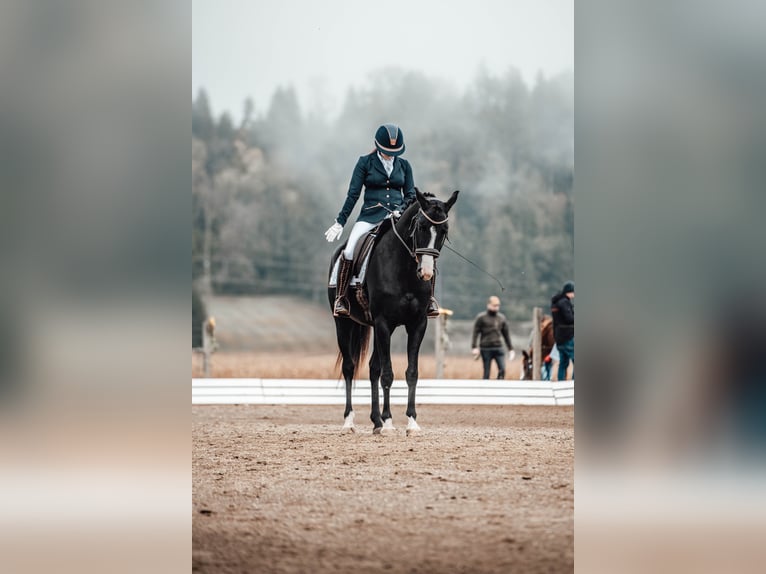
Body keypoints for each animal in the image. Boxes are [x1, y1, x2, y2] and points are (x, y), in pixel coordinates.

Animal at [328, 188, 459, 435]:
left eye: (444, 230)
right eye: (421, 226)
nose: (426, 272)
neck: (404, 268)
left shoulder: (417, 323)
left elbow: (411, 373)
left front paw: (411, 422)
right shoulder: (383, 323)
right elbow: (388, 374)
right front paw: (389, 422)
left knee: (372, 368)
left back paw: (376, 422)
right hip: (345, 323)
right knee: (350, 367)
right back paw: (350, 421)